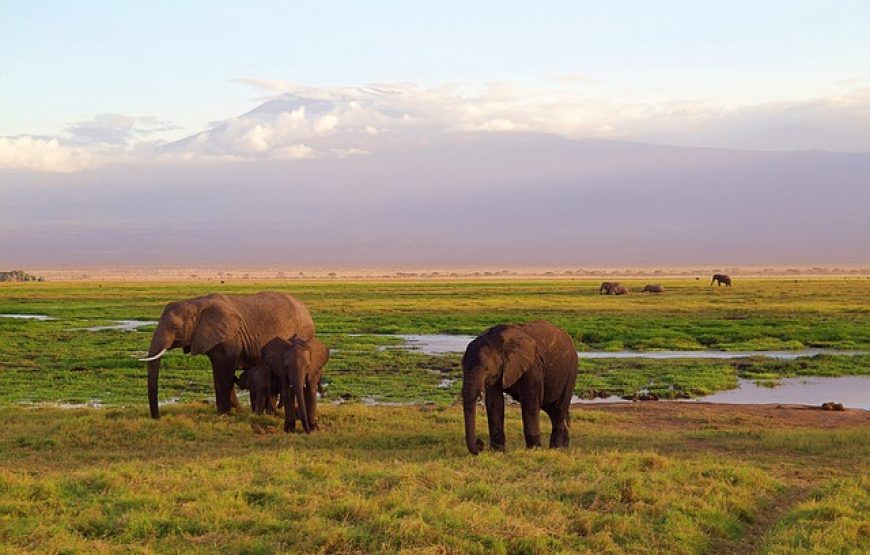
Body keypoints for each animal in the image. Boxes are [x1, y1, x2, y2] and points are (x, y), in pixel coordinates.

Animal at [136, 294, 314, 420]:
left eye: (174, 327)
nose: (157, 417)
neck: (196, 303)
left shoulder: (229, 340)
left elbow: (223, 374)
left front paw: (223, 414)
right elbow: (219, 374)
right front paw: (235, 411)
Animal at [464, 322, 580, 456]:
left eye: (486, 369)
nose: (480, 444)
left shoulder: (533, 365)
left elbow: (530, 401)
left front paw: (533, 451)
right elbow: (495, 402)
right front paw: (498, 452)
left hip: (570, 372)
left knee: (559, 409)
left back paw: (555, 449)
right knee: (551, 409)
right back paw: (564, 448)